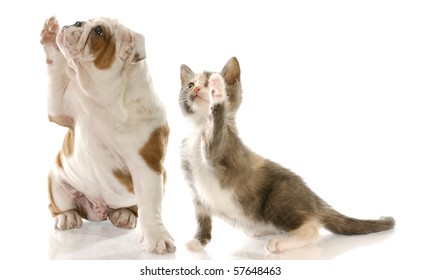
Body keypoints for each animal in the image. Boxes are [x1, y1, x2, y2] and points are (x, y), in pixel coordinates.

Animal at [40, 17, 175, 254]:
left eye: (99, 31)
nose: (76, 22)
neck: (106, 99)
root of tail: (99, 212)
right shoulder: (62, 110)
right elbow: (56, 77)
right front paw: (49, 36)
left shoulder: (147, 166)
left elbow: (150, 206)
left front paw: (157, 237)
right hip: (55, 181)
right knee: (56, 206)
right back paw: (67, 217)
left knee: (135, 208)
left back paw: (124, 215)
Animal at [178, 57, 394, 254]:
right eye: (190, 84)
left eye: (207, 82)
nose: (197, 89)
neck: (199, 129)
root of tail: (312, 197)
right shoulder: (195, 188)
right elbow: (203, 218)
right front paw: (198, 242)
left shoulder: (223, 151)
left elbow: (215, 130)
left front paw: (219, 93)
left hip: (278, 199)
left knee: (311, 228)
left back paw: (280, 243)